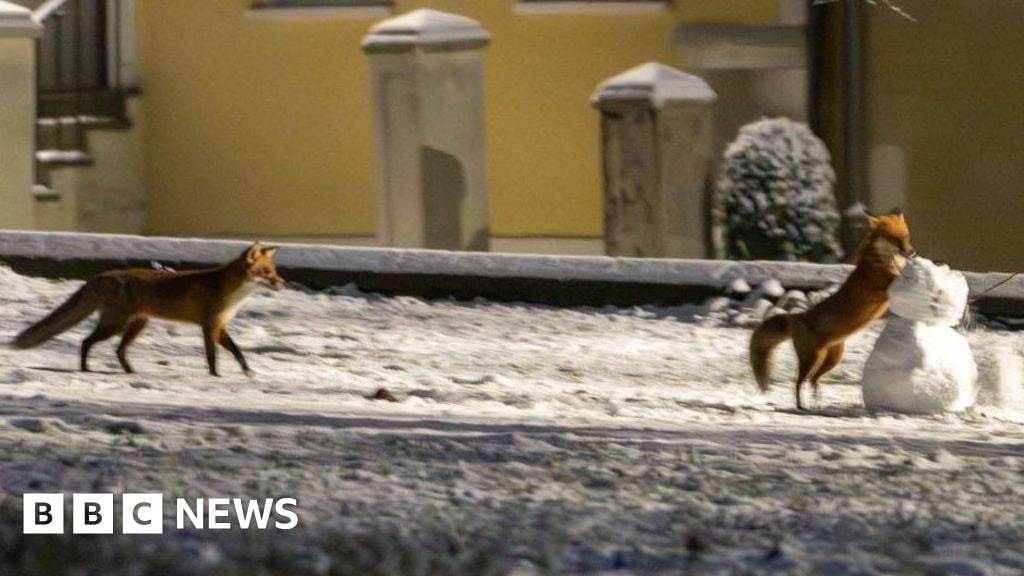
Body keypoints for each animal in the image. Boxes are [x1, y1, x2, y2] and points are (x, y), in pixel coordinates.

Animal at [12, 242, 284, 376]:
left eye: (275, 271)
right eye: (266, 273)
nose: (282, 283)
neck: (231, 295)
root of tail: (99, 276)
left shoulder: (220, 326)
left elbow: (237, 351)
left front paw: (248, 371)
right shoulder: (209, 326)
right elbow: (212, 357)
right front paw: (216, 376)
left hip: (136, 325)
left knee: (119, 350)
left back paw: (130, 372)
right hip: (116, 325)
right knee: (86, 342)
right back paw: (85, 369)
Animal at [749, 209, 915, 410]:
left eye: (906, 237)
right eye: (894, 239)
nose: (912, 252)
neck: (879, 261)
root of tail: (799, 316)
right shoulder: (883, 286)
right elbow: (898, 277)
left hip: (832, 359)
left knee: (813, 380)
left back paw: (817, 403)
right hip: (812, 359)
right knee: (798, 383)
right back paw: (801, 407)